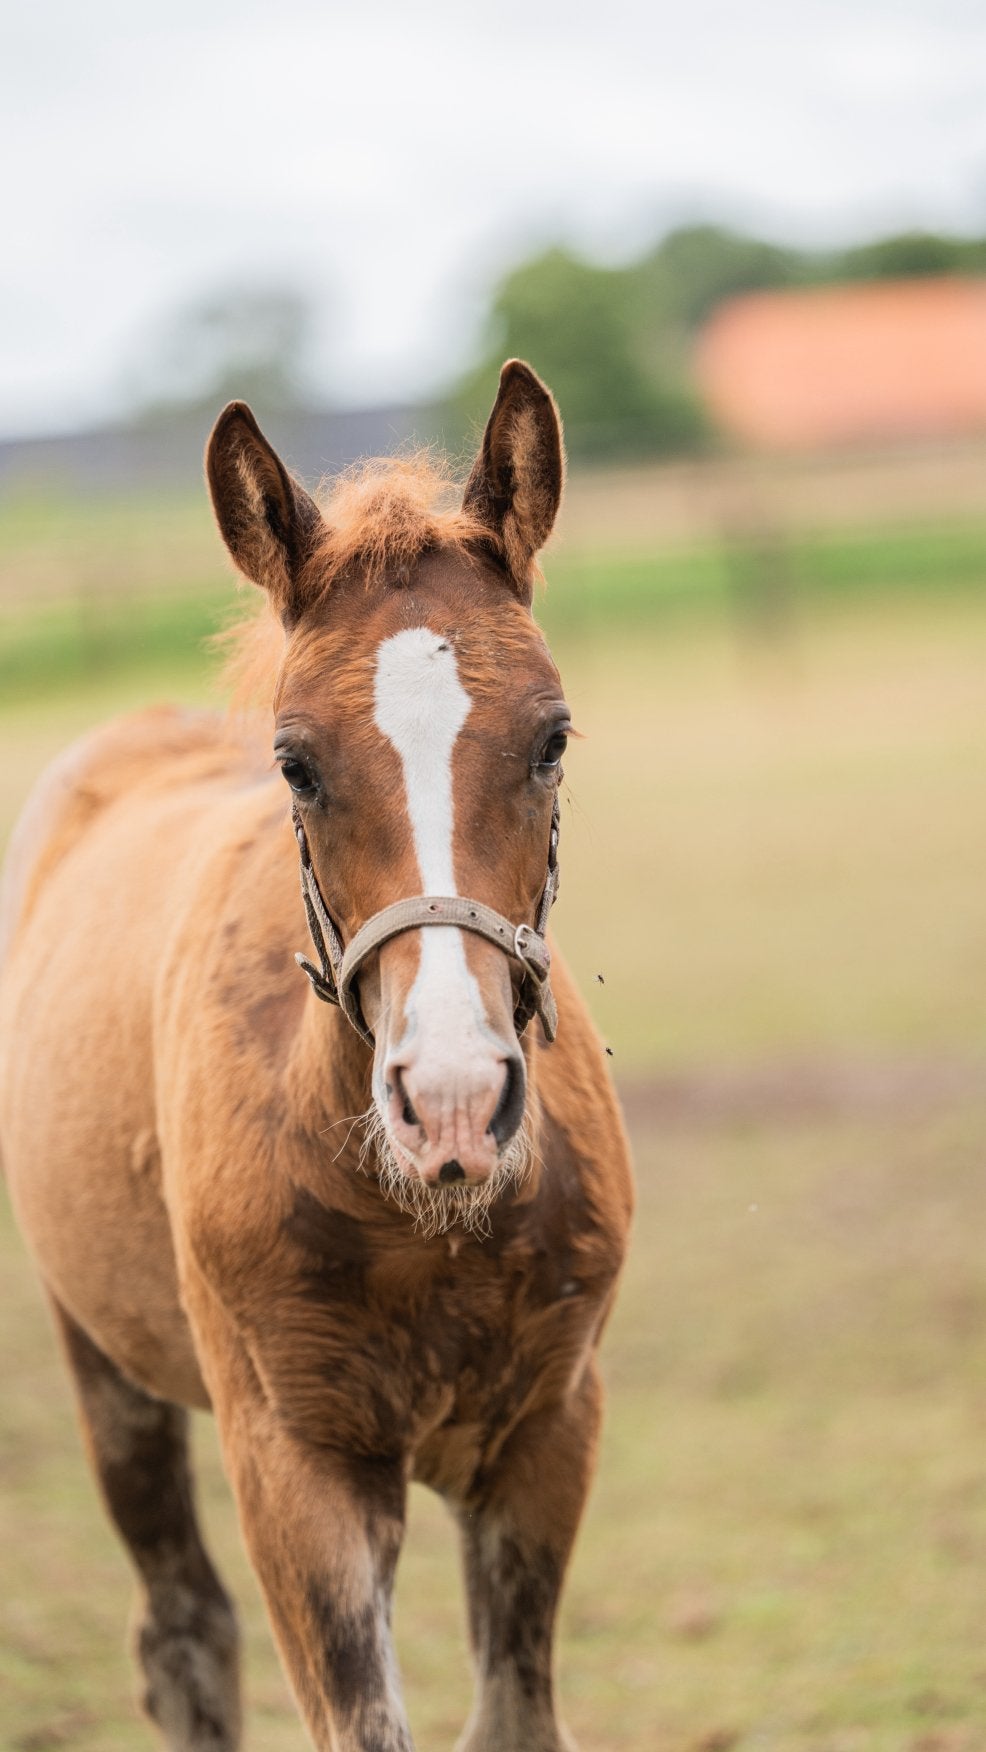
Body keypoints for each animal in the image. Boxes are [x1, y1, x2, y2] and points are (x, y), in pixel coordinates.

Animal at [0, 360, 633, 1752]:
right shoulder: (297, 1463)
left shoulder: (546, 1434)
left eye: (554, 738)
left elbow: (514, 1716)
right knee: (184, 1631)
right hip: (103, 1361)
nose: (451, 1103)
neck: (423, 1219)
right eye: (294, 763)